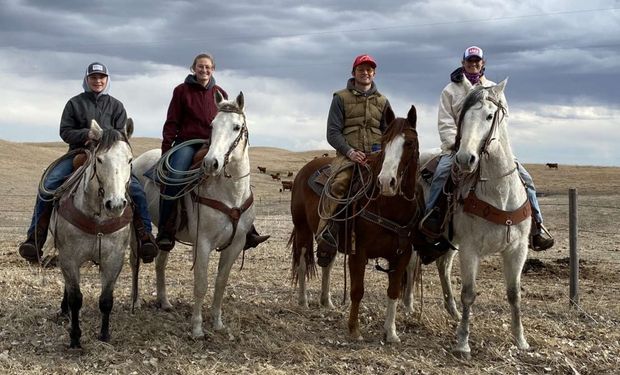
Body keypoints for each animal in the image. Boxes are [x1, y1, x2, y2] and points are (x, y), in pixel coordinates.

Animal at [53, 119, 136, 350]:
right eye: (99, 159)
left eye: (129, 160)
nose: (115, 204)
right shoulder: (69, 258)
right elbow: (75, 299)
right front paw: (75, 337)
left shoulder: (114, 259)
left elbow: (106, 299)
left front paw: (104, 334)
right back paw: (64, 311)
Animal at [130, 92, 256, 340]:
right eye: (212, 126)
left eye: (237, 127)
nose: (211, 163)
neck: (231, 194)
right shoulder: (203, 242)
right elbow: (201, 284)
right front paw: (197, 328)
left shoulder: (235, 244)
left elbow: (220, 283)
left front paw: (217, 323)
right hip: (134, 228)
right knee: (134, 260)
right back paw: (136, 301)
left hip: (167, 233)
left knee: (161, 261)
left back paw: (164, 302)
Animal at [290, 106, 422, 344]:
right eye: (384, 141)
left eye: (409, 143)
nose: (386, 182)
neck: (387, 207)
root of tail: (305, 170)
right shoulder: (358, 252)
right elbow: (357, 290)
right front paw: (354, 329)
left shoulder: (402, 255)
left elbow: (393, 291)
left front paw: (391, 332)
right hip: (303, 229)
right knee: (304, 262)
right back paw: (304, 301)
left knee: (327, 262)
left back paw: (326, 301)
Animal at [410, 80, 532, 362]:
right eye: (462, 118)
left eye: (489, 115)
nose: (465, 159)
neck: (499, 193)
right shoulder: (470, 249)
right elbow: (469, 293)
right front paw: (463, 342)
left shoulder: (517, 249)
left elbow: (514, 294)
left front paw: (520, 340)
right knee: (409, 267)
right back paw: (407, 306)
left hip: (448, 240)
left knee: (442, 265)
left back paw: (451, 310)